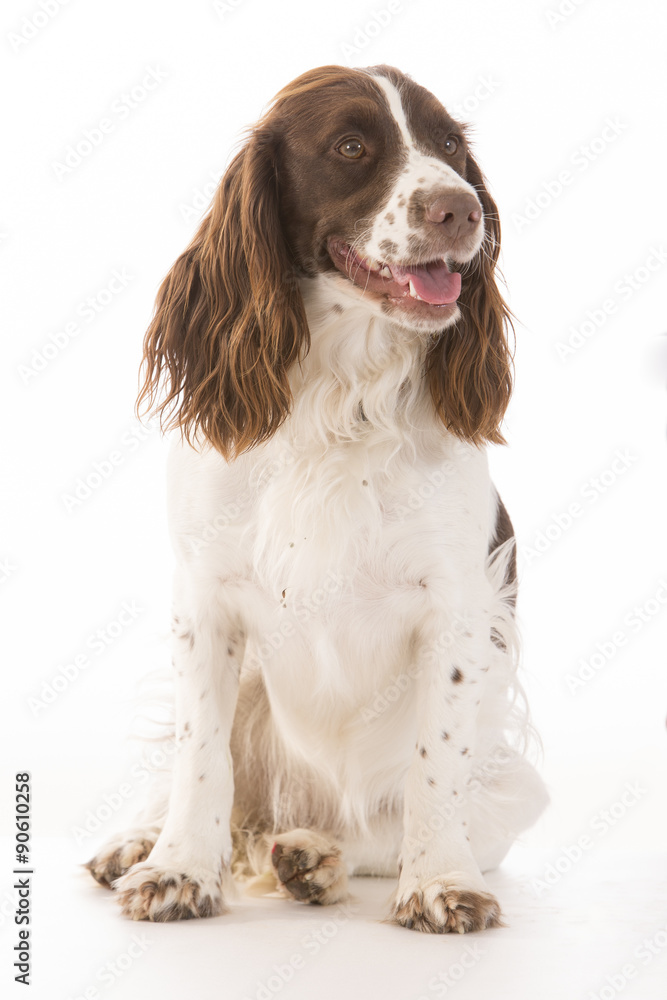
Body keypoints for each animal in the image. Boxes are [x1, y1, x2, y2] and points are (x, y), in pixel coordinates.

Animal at [86, 66, 548, 932]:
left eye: (447, 144)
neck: (343, 395)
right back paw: (141, 841)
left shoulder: (457, 607)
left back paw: (312, 858)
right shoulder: (203, 598)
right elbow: (200, 758)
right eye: (350, 146)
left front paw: (439, 882)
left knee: (365, 830)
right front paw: (178, 869)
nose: (460, 208)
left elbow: (432, 769)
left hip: (509, 785)